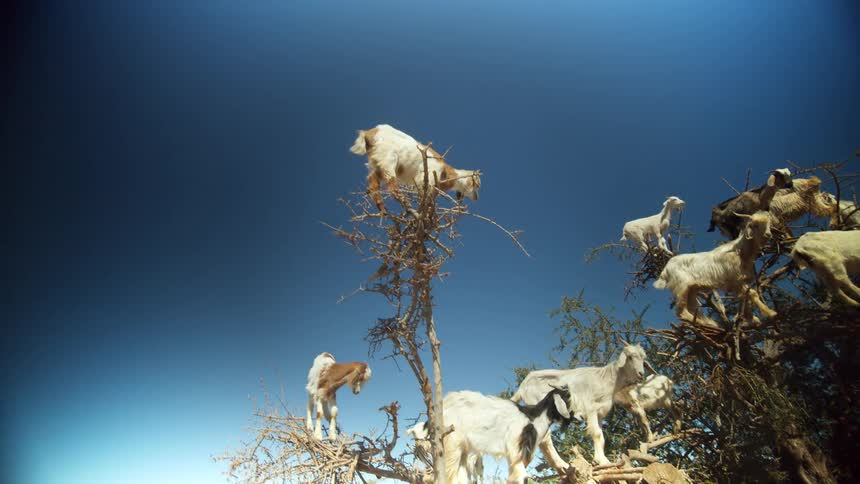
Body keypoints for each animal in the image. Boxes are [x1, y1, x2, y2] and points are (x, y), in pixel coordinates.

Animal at [350, 124, 481, 211]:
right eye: (476, 184)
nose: (477, 197)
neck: (445, 173)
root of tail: (370, 132)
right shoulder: (426, 177)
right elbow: (424, 195)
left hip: (377, 162)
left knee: (372, 181)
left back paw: (381, 206)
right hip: (388, 157)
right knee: (391, 183)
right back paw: (403, 200)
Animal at [442, 388, 571, 484]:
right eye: (567, 397)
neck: (534, 418)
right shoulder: (515, 447)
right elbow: (521, 477)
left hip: (464, 449)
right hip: (452, 443)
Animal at [511, 344, 647, 466]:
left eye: (643, 358)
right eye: (630, 357)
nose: (641, 374)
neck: (605, 379)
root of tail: (523, 385)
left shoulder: (600, 414)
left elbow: (601, 437)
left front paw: (599, 460)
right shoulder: (591, 409)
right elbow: (597, 434)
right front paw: (603, 461)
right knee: (545, 439)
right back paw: (563, 466)